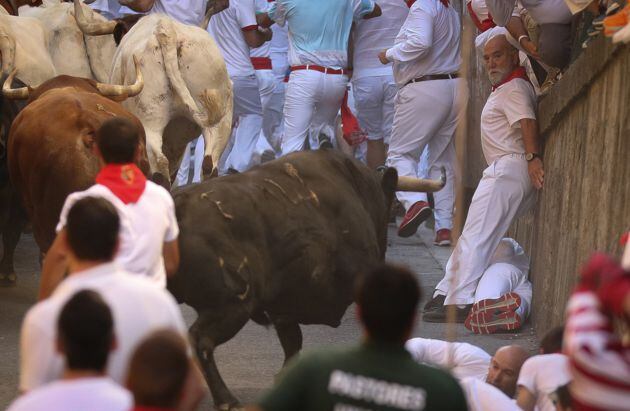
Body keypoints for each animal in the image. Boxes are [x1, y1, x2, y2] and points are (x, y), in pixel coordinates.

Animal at [168, 149, 444, 408]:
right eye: (388, 207)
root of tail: (179, 203)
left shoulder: (283, 307)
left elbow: (293, 343)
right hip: (232, 305)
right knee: (201, 341)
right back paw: (226, 399)